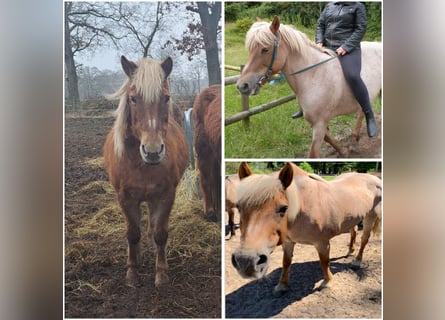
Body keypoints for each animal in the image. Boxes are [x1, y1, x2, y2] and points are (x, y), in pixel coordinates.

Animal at [103, 55, 187, 288]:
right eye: (133, 98)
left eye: (166, 98)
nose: (152, 151)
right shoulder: (125, 198)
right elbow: (132, 234)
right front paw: (132, 273)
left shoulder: (166, 196)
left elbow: (160, 233)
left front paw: (161, 273)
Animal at [231, 162, 380, 296]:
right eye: (239, 207)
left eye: (283, 208)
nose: (245, 261)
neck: (303, 205)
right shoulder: (288, 242)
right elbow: (286, 262)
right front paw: (282, 285)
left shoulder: (322, 242)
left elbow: (324, 262)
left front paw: (327, 282)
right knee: (353, 233)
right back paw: (350, 251)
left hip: (370, 216)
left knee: (364, 239)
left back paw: (357, 261)